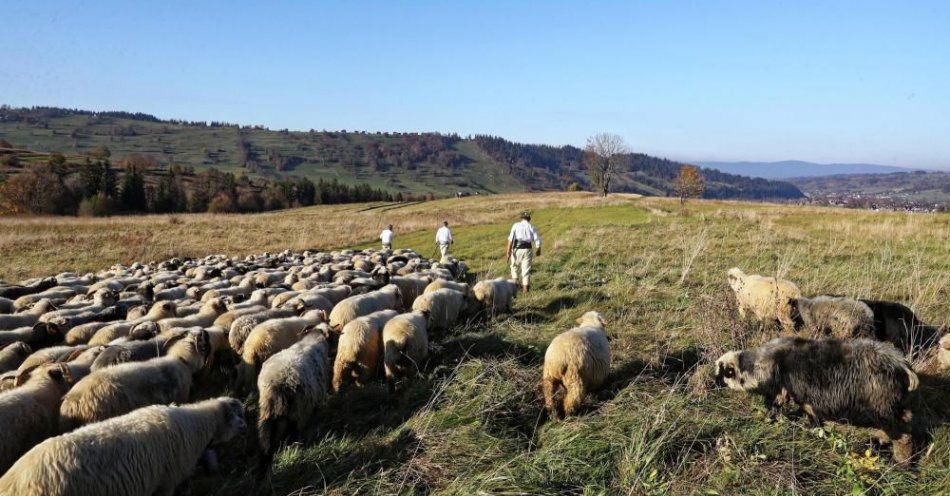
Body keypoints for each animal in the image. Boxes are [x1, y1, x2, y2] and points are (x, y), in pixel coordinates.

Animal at [256, 326, 330, 462]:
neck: (313, 338)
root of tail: (279, 381)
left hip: (266, 412)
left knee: (266, 439)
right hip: (297, 411)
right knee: (293, 433)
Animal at [716, 338, 920, 464]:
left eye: (726, 372)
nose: (715, 384)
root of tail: (902, 365)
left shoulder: (798, 395)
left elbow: (803, 413)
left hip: (882, 410)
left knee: (903, 436)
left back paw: (899, 464)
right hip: (897, 406)